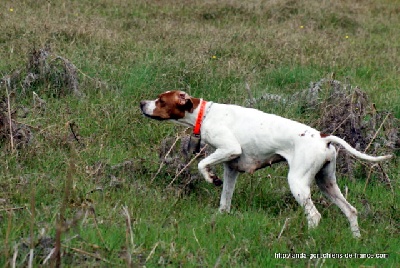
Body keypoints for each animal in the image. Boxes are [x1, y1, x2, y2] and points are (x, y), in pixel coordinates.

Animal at [140, 90, 390, 237]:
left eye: (160, 100)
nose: (142, 102)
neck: (206, 113)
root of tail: (323, 137)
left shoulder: (230, 149)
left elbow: (202, 165)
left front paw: (211, 178)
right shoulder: (231, 168)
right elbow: (225, 202)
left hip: (298, 183)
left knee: (314, 216)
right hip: (326, 183)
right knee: (351, 211)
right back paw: (356, 239)